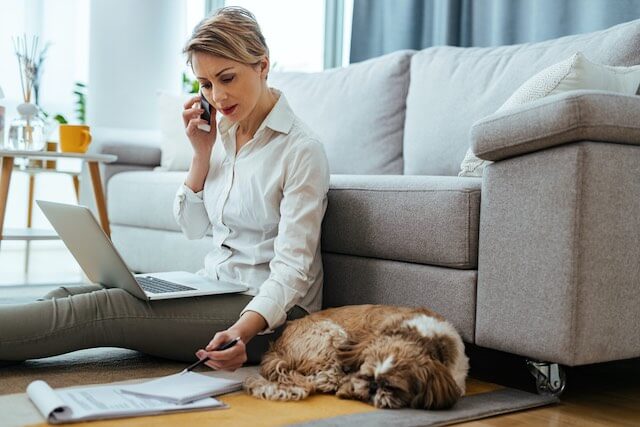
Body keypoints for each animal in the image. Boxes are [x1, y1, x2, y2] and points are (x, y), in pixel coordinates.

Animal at [242, 306, 468, 410]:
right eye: (367, 375)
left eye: (393, 387)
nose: (373, 386)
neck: (417, 335)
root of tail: (278, 344)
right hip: (331, 335)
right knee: (324, 379)